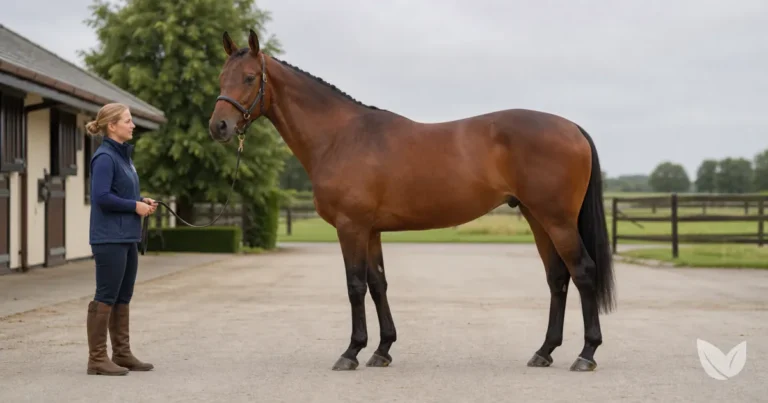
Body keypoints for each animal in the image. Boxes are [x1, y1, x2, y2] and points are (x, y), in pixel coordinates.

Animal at [208, 29, 616, 372]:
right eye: (221, 78)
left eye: (249, 78)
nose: (219, 127)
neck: (340, 137)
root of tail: (572, 128)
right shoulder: (370, 230)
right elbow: (378, 284)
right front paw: (382, 349)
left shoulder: (351, 227)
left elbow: (355, 285)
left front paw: (351, 352)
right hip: (537, 217)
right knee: (557, 277)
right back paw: (544, 351)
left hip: (558, 220)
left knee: (583, 272)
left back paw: (586, 354)